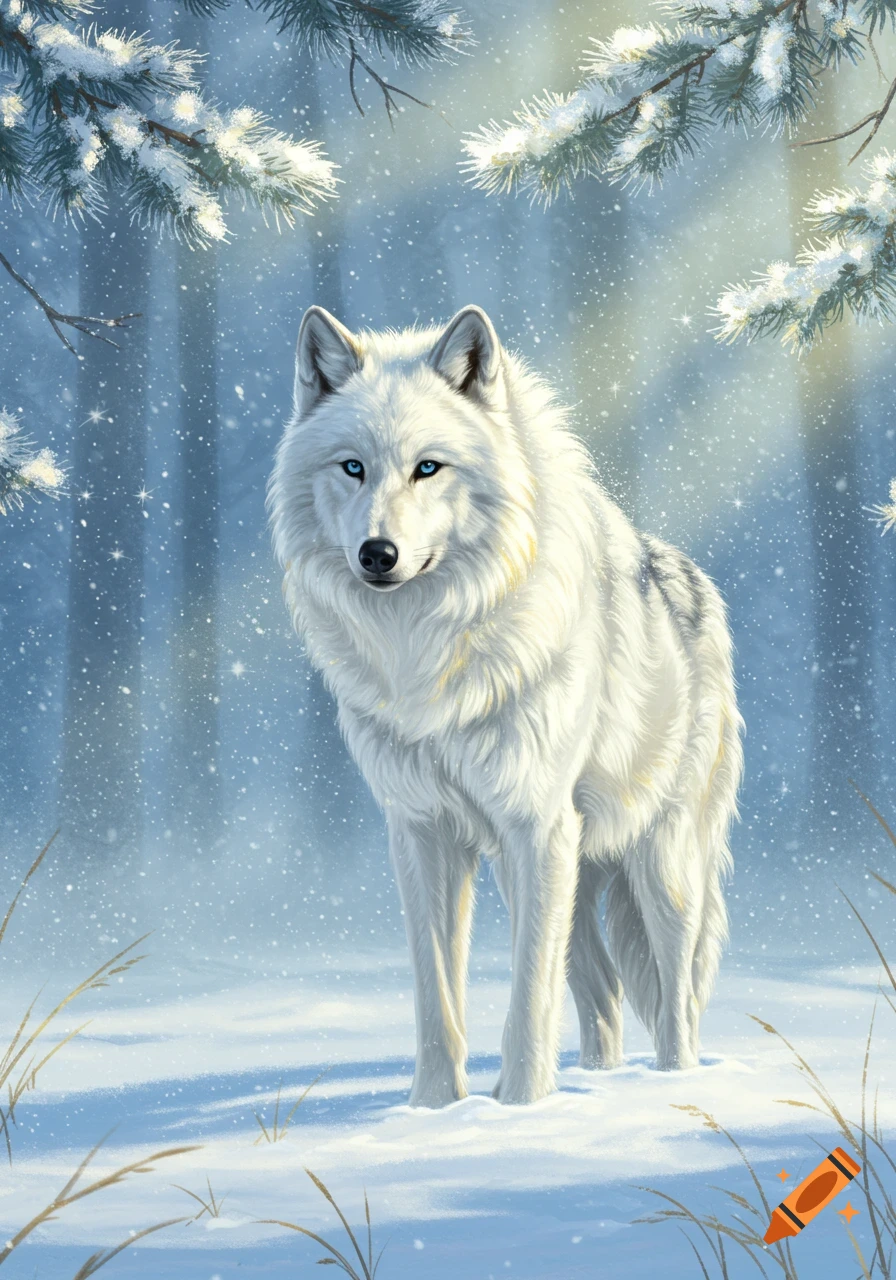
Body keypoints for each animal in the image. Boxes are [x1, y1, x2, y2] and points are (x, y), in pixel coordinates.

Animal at [269, 304, 744, 1107]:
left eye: (428, 467)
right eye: (352, 467)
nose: (377, 554)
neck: (432, 653)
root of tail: (688, 573)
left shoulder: (533, 823)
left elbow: (527, 997)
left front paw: (518, 1108)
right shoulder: (423, 832)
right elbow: (437, 992)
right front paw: (434, 1111)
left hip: (658, 864)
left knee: (676, 996)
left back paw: (669, 1086)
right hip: (563, 871)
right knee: (604, 992)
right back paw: (595, 1081)